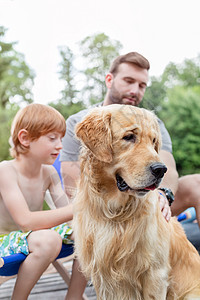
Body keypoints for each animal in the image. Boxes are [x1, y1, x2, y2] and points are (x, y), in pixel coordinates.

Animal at [72, 104, 200, 298]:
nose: (161, 169)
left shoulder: (155, 273)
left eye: (153, 141)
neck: (116, 213)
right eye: (129, 137)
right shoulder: (101, 276)